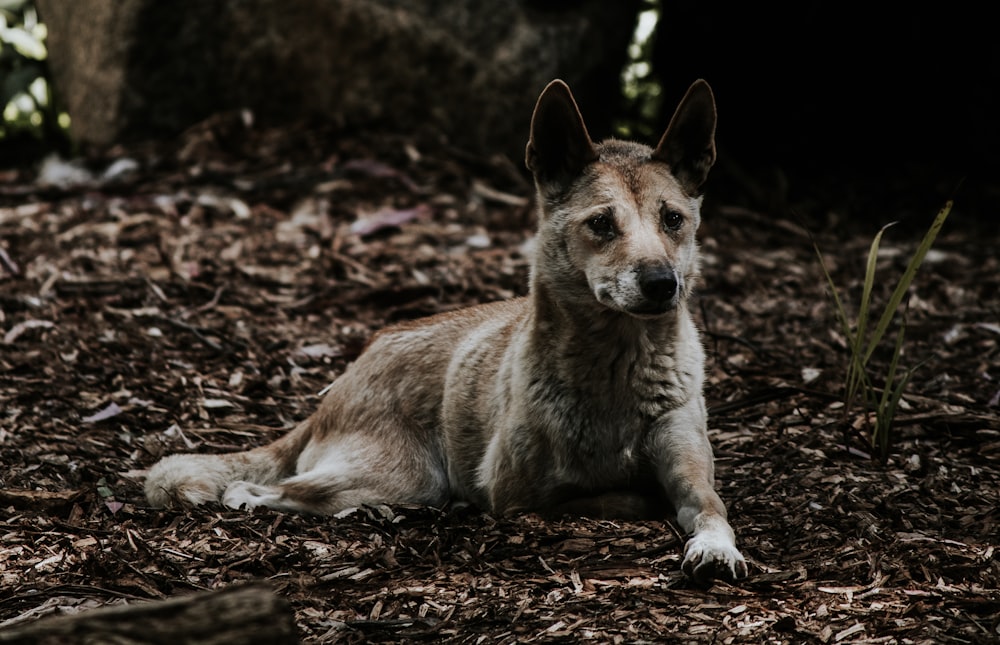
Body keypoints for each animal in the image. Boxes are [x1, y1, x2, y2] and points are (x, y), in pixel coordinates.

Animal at [145, 78, 748, 580]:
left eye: (673, 219)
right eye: (601, 223)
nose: (662, 283)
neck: (617, 368)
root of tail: (344, 380)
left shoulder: (685, 460)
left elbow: (709, 504)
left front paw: (716, 546)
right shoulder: (516, 497)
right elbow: (620, 498)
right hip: (410, 474)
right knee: (259, 488)